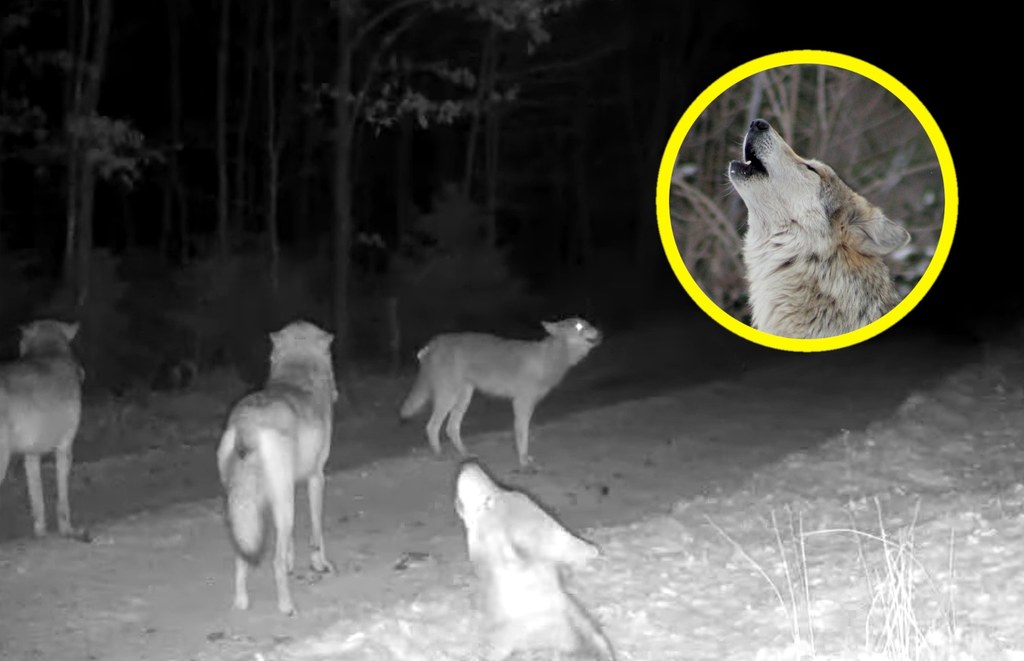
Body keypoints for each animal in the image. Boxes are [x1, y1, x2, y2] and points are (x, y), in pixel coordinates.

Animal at [0, 321, 89, 544]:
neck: (50, 351)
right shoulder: (65, 448)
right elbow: (62, 499)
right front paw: (68, 531)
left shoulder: (31, 456)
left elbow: (37, 500)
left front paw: (40, 533)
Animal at [216, 321, 339, 618]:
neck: (298, 371)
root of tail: (247, 424)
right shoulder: (316, 479)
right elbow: (316, 534)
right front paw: (320, 564)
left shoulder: (292, 487)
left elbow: (292, 545)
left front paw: (295, 563)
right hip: (283, 508)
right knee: (274, 563)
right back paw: (286, 606)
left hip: (246, 510)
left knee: (242, 559)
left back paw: (241, 603)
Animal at [393, 319, 598, 468]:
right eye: (579, 326)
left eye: (587, 323)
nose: (599, 331)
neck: (548, 359)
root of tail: (431, 345)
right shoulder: (522, 403)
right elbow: (522, 434)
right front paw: (523, 461)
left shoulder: (525, 404)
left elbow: (522, 434)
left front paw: (524, 459)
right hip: (449, 396)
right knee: (432, 426)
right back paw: (439, 455)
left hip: (464, 396)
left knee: (451, 427)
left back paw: (465, 454)